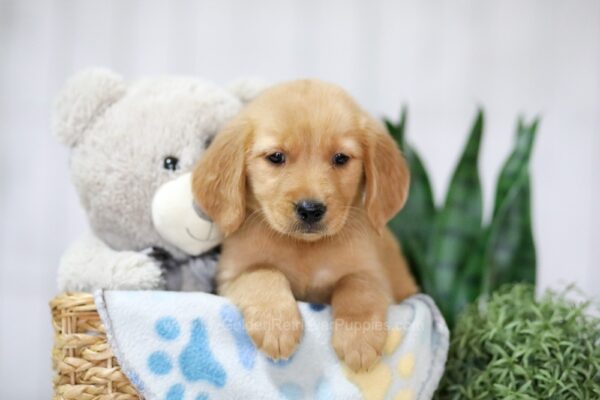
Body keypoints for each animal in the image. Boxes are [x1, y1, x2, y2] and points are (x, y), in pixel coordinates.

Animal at [192, 79, 418, 374]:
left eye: (341, 158)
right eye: (276, 157)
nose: (310, 209)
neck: (304, 249)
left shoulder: (375, 275)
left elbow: (358, 286)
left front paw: (359, 339)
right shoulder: (231, 276)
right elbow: (263, 273)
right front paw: (276, 326)